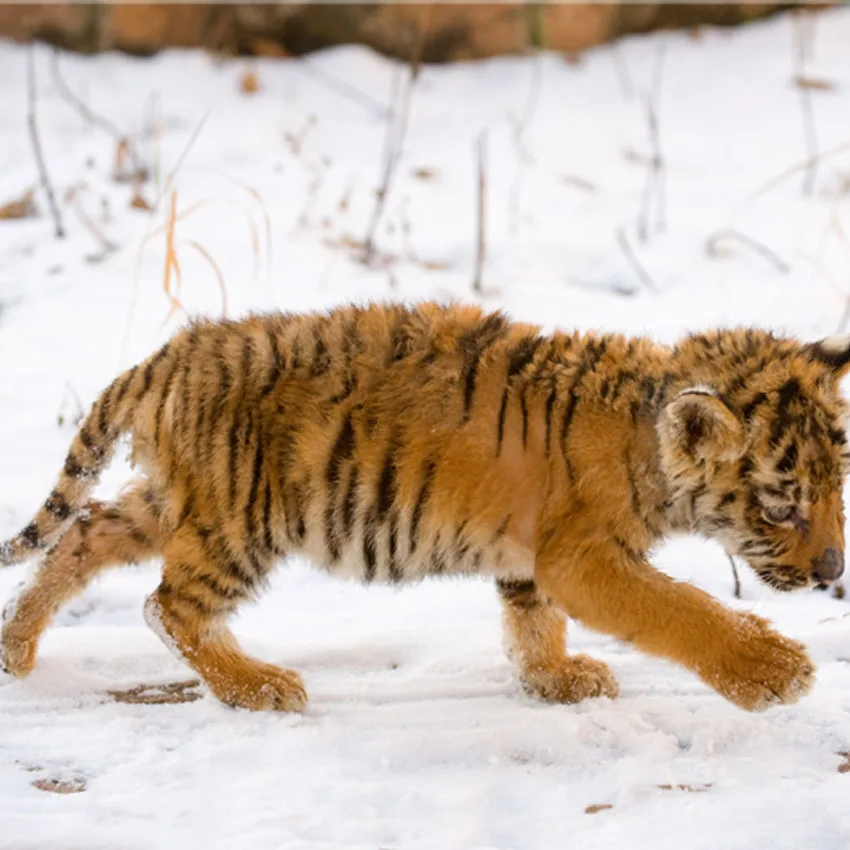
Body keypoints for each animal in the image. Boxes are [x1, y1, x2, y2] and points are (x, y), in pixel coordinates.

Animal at [1, 302, 847, 714]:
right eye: (784, 507)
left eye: (839, 484)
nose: (835, 569)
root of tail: (166, 358)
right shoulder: (584, 556)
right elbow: (682, 609)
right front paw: (775, 672)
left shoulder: (533, 558)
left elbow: (532, 623)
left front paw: (556, 680)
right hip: (240, 519)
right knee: (167, 606)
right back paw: (259, 687)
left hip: (174, 501)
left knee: (83, 535)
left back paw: (17, 649)